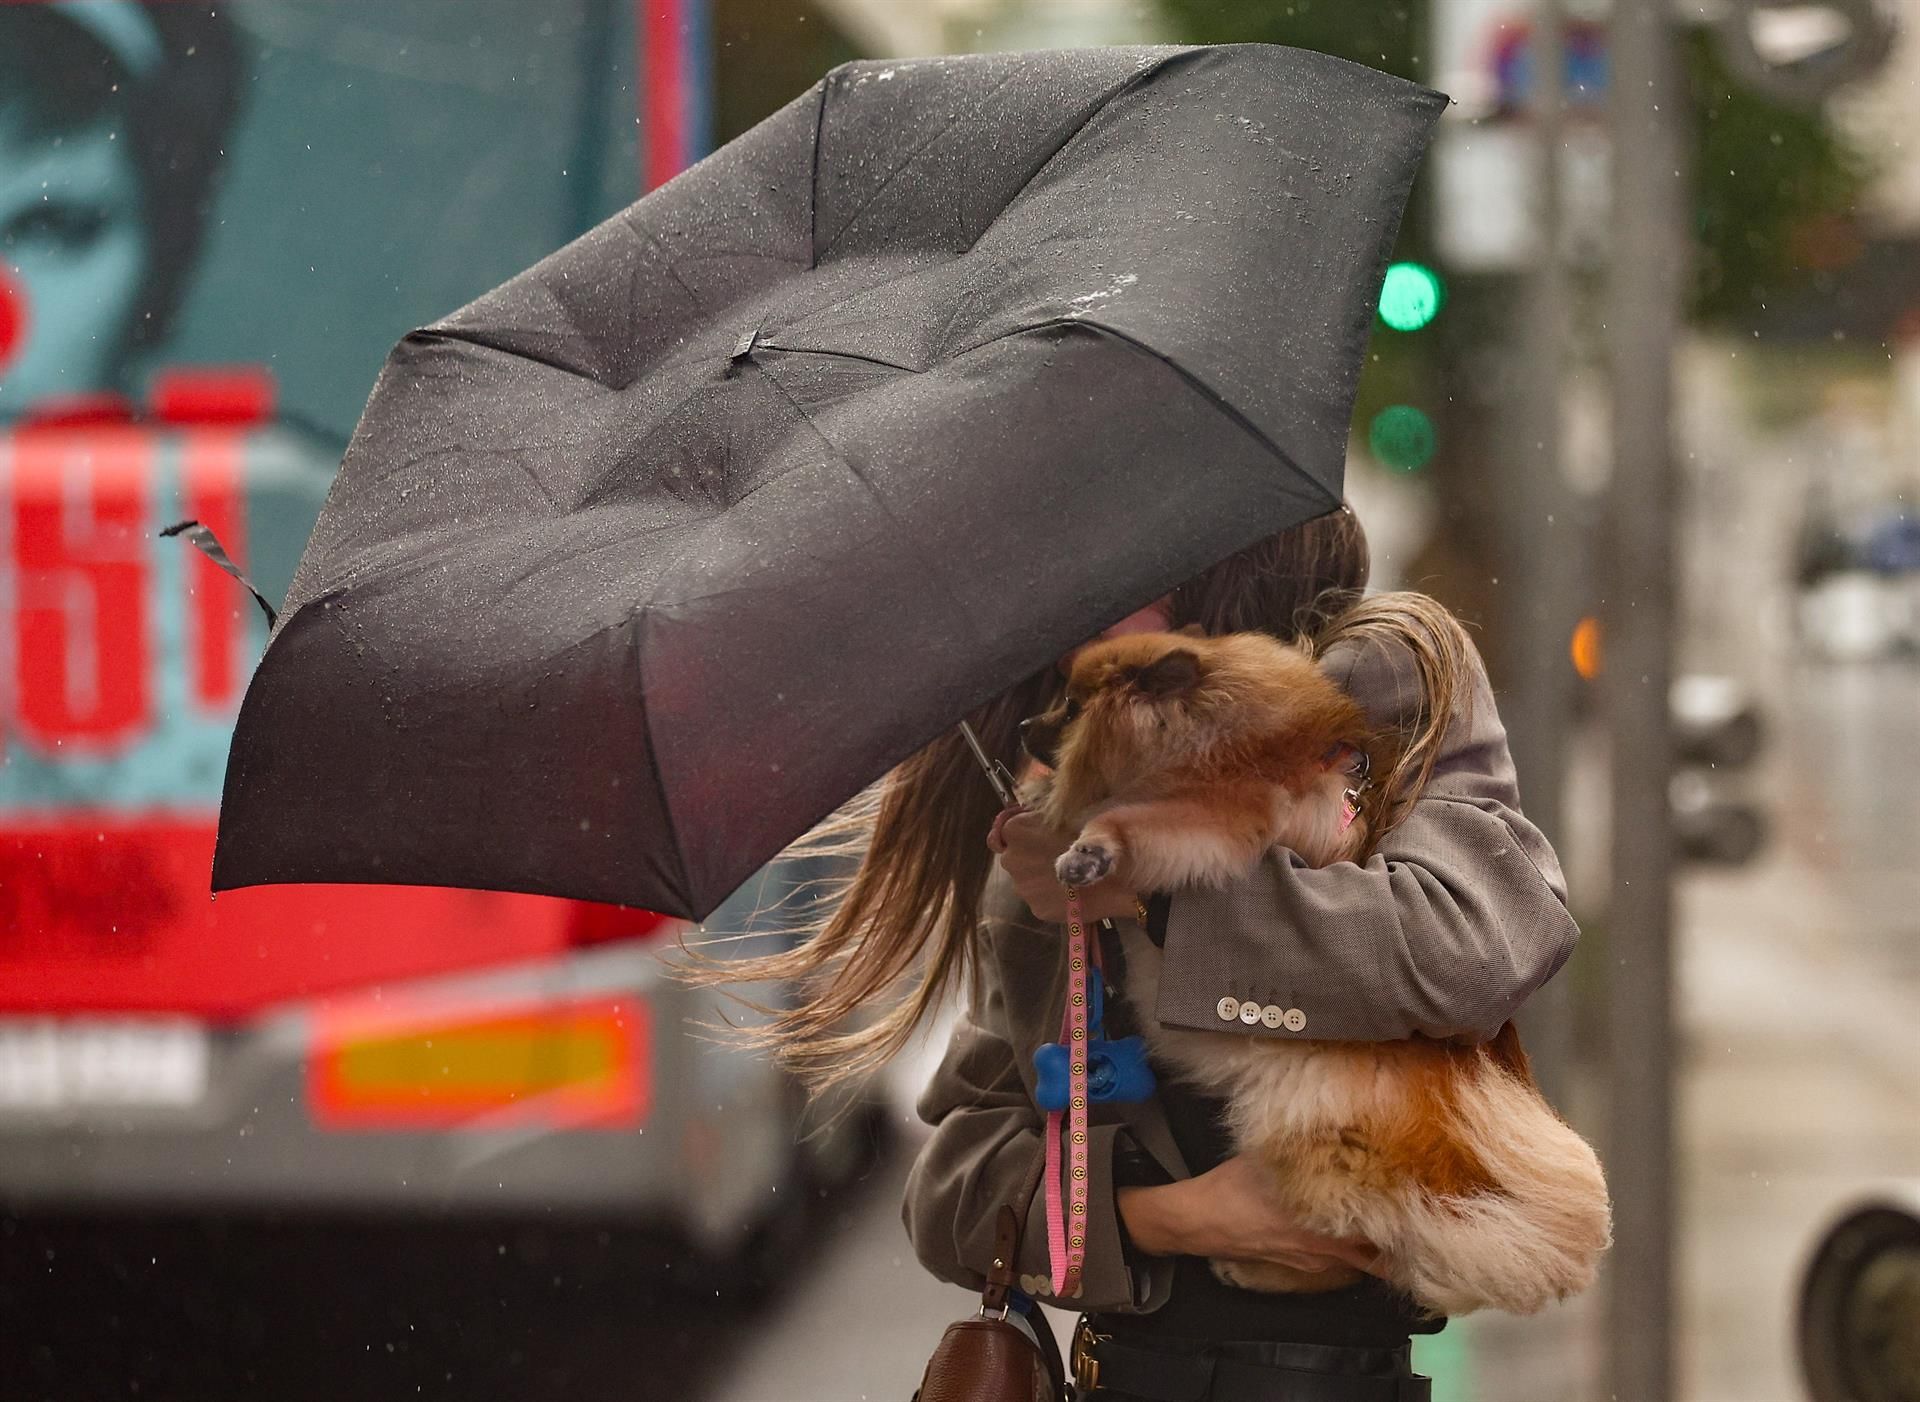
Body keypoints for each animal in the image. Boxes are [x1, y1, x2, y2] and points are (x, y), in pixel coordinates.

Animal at [1029, 610, 1612, 1313]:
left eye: (1071, 705)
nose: (1025, 725)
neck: (1216, 735)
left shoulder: (1223, 816)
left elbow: (1140, 825)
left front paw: (1094, 848)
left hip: (1304, 1145)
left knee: (1359, 1256)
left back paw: (1252, 1270)